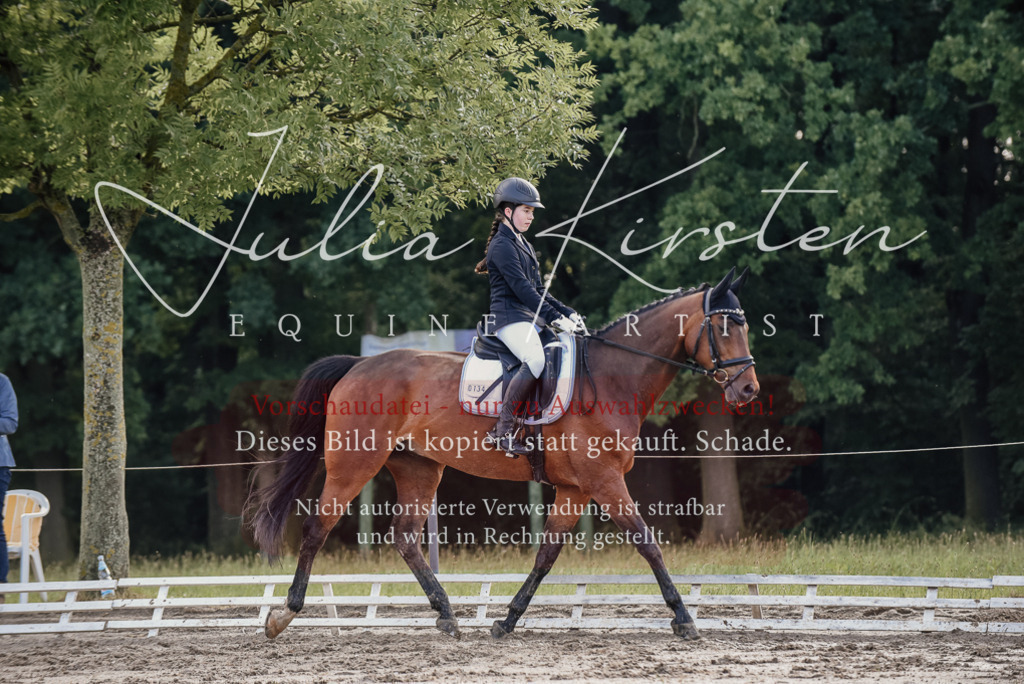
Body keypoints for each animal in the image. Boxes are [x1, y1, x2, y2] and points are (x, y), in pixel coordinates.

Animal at [247, 266, 759, 641]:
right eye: (722, 326)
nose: (749, 389)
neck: (611, 378)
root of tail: (358, 365)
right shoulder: (604, 481)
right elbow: (647, 542)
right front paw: (684, 618)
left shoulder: (575, 488)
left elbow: (546, 555)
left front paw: (507, 619)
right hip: (354, 463)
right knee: (317, 527)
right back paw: (283, 614)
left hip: (418, 468)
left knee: (406, 538)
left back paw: (447, 614)